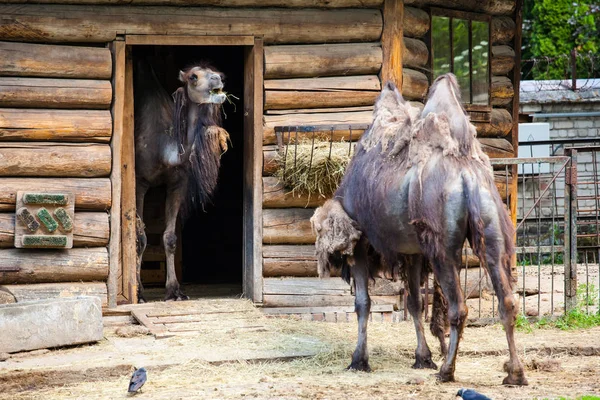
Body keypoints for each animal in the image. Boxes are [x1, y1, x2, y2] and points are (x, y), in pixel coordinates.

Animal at [134, 59, 230, 302]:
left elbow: (170, 238)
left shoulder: (178, 183)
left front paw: (175, 291)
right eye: (193, 76)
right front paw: (138, 292)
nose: (218, 79)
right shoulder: (139, 182)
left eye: (217, 72)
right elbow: (140, 237)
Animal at [312, 73, 528, 386]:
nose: (328, 261)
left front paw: (358, 360)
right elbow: (414, 303)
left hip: (443, 248)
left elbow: (363, 303)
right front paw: (422, 357)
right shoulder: (413, 252)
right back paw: (515, 373)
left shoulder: (363, 244)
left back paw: (447, 371)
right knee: (507, 300)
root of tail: (465, 173)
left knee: (459, 307)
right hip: (492, 229)